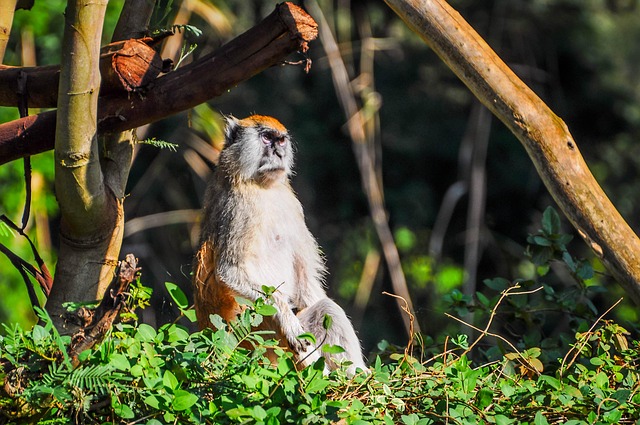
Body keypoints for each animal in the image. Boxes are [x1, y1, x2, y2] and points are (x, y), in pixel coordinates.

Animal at [193, 114, 368, 375]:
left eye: (281, 140)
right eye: (266, 138)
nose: (277, 152)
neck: (261, 185)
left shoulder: (292, 205)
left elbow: (307, 285)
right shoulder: (238, 208)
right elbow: (230, 273)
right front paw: (287, 322)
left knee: (325, 308)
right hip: (255, 339)